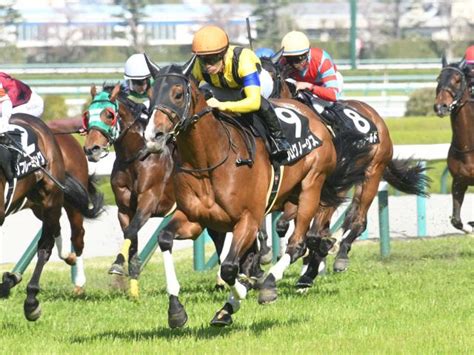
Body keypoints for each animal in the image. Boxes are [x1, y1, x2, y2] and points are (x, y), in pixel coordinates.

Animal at [143, 56, 372, 328]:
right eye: (149, 95)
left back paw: (272, 284)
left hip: (312, 185)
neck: (211, 158)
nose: (153, 136)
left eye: (178, 94)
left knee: (298, 243)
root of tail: (316, 120)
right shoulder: (195, 218)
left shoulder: (248, 220)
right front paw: (177, 310)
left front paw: (244, 290)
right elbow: (165, 239)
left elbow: (230, 267)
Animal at [260, 53, 430, 286]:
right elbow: (287, 222)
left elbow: (311, 230)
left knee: (357, 220)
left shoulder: (324, 183)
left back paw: (339, 255)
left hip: (372, 173)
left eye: (273, 76)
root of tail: (374, 115)